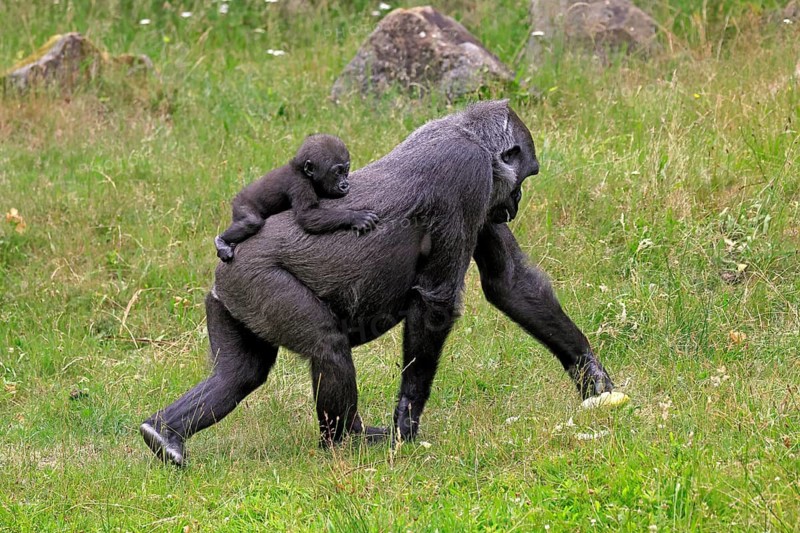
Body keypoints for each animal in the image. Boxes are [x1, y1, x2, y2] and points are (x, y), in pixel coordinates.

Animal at [214, 134, 379, 262]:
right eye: (337, 173)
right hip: (241, 203)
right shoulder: (299, 184)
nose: (345, 185)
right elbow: (307, 215)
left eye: (346, 170)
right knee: (251, 222)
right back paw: (221, 241)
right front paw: (355, 216)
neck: (302, 170)